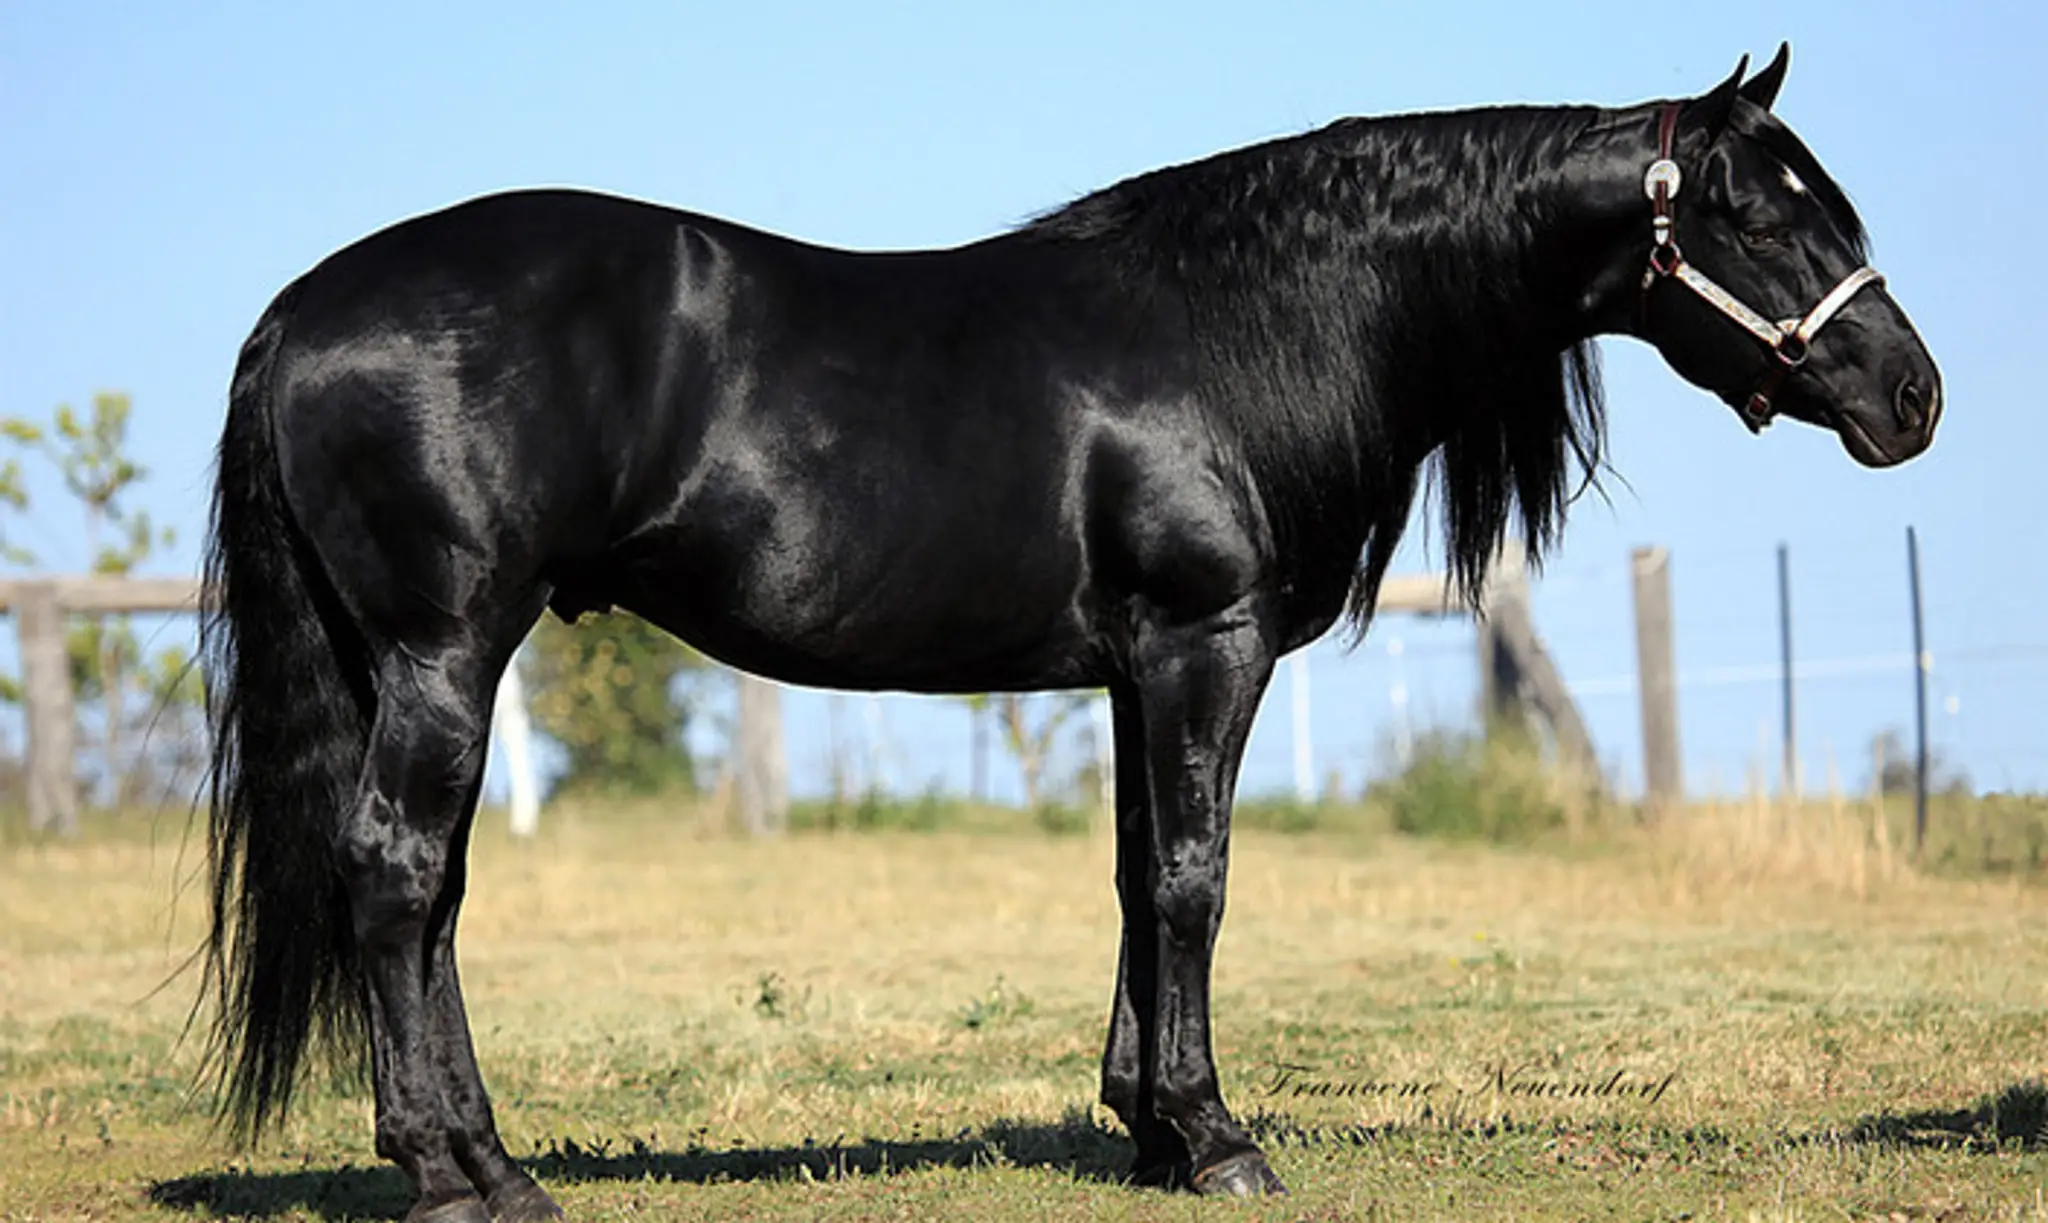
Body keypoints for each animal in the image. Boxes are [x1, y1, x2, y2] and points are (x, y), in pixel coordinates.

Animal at [198, 43, 1939, 1219]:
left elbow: (1131, 872)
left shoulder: (1130, 671)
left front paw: (1147, 1124)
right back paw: (450, 1172)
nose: (1913, 397)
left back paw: (486, 1157)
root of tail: (305, 307)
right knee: (399, 877)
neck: (1247, 329)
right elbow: (1193, 879)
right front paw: (1218, 1136)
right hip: (445, 650)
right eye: (1757, 213)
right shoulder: (1202, 646)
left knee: (428, 897)